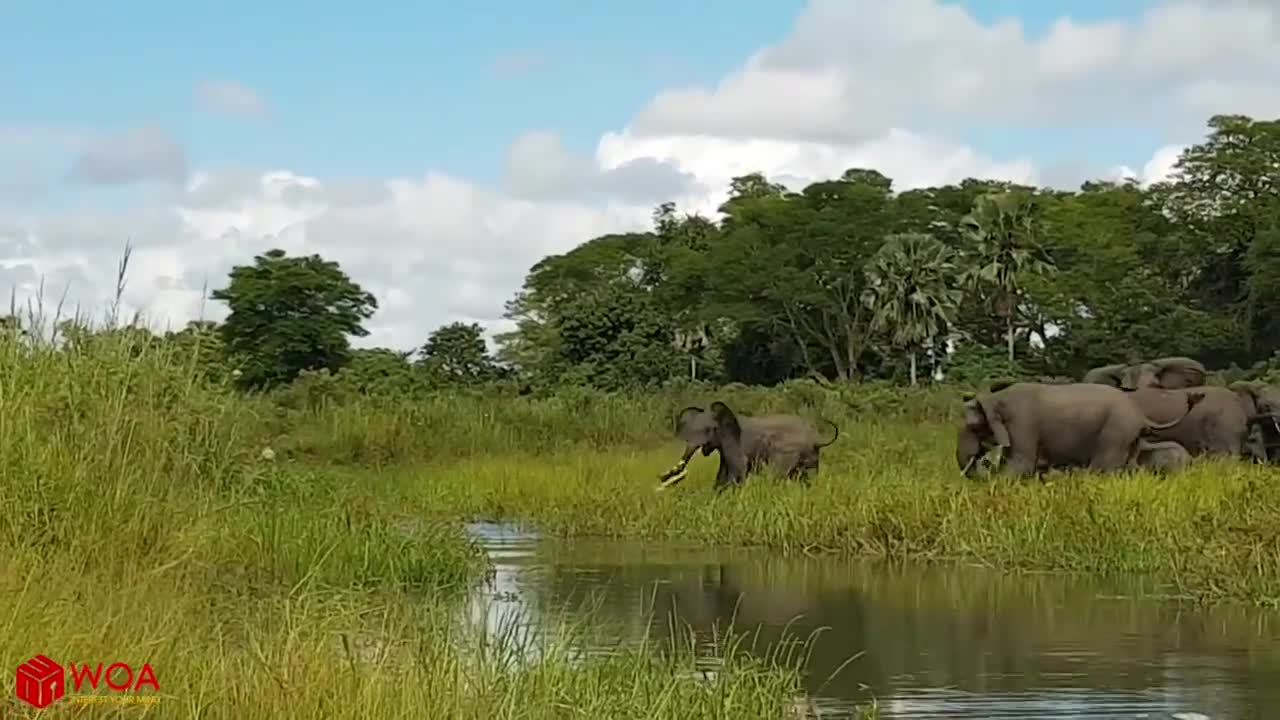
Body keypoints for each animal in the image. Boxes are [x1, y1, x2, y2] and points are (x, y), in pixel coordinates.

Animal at [660, 399, 839, 489]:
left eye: (709, 430)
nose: (662, 478)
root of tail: (816, 439)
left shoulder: (734, 442)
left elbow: (738, 468)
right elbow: (722, 473)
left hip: (786, 452)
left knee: (775, 475)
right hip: (811, 457)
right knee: (807, 477)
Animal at [957, 381, 1203, 476]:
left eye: (974, 427)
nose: (984, 462)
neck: (996, 398)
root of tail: (1140, 414)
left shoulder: (1022, 422)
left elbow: (1021, 463)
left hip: (1116, 429)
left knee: (1103, 467)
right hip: (1128, 435)